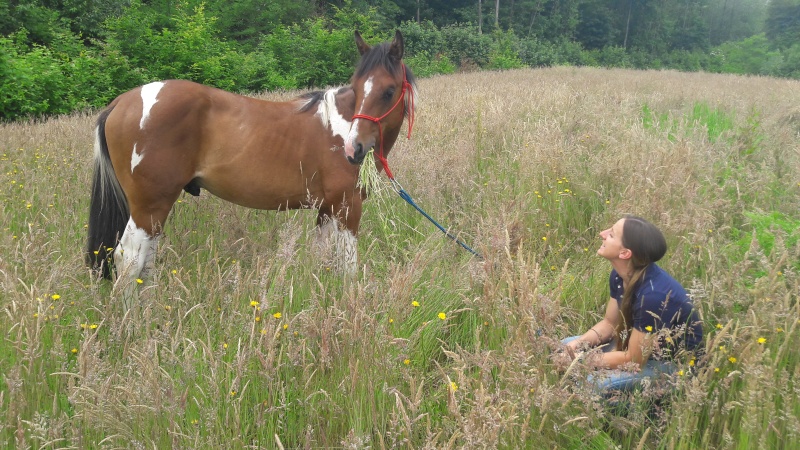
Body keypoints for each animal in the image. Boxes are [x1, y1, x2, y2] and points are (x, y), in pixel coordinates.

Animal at [86, 30, 416, 292]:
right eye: (358, 88)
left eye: (388, 91)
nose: (353, 149)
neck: (339, 123)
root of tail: (121, 102)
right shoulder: (347, 207)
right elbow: (347, 267)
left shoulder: (325, 209)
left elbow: (322, 259)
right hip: (149, 204)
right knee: (128, 258)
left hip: (156, 208)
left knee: (147, 260)